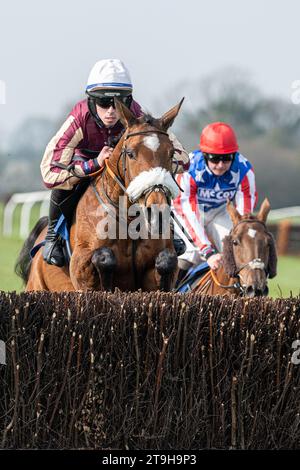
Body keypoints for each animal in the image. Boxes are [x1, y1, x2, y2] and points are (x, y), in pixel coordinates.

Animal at [17, 98, 185, 290]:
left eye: (172, 153)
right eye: (130, 153)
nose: (156, 211)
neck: (129, 219)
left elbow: (167, 260)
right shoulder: (81, 264)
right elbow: (104, 258)